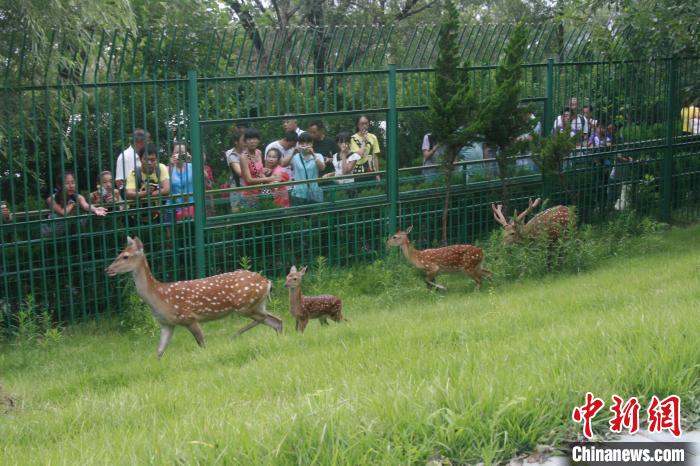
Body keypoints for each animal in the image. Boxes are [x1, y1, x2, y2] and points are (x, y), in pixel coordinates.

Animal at [105, 236, 283, 359]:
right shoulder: (166, 324)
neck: (160, 297)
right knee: (276, 320)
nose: (107, 269)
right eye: (118, 254)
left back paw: (234, 335)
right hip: (257, 304)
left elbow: (202, 343)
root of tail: (267, 282)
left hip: (245, 305)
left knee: (267, 318)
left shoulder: (189, 318)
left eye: (125, 256)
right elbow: (159, 351)